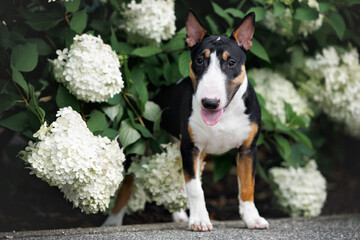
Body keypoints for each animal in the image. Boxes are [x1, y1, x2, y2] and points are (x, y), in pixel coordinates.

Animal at [102, 9, 268, 232]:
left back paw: (180, 215)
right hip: (142, 146)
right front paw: (199, 220)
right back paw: (113, 220)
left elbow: (248, 185)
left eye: (231, 62)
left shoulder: (248, 149)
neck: (225, 114)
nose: (209, 103)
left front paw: (253, 218)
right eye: (199, 60)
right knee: (128, 183)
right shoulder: (190, 147)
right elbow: (195, 189)